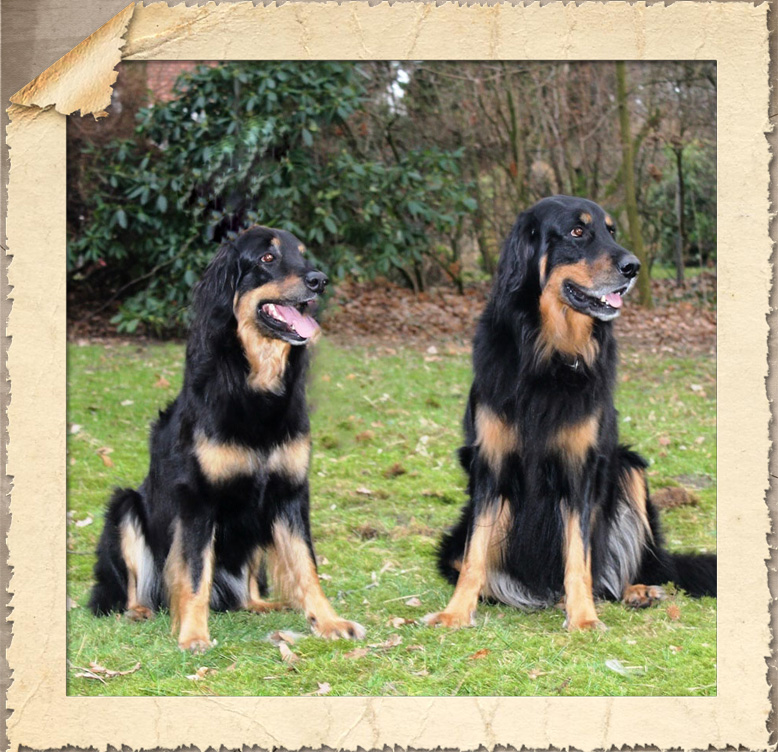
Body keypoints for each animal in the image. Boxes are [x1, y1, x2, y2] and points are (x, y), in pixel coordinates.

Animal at [89, 226, 365, 651]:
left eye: (303, 255)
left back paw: (259, 604)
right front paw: (193, 634)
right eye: (267, 259)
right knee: (138, 582)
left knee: (244, 589)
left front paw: (328, 621)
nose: (319, 280)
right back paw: (138, 610)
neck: (256, 385)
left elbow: (306, 566)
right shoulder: (197, 499)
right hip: (125, 506)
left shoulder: (289, 493)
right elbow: (194, 574)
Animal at [424, 196, 716, 631]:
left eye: (611, 230)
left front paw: (583, 617)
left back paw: (634, 590)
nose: (633, 267)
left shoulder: (582, 469)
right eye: (578, 232)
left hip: (628, 467)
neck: (551, 355)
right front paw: (457, 611)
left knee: (621, 569)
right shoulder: (489, 465)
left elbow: (580, 555)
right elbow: (475, 555)